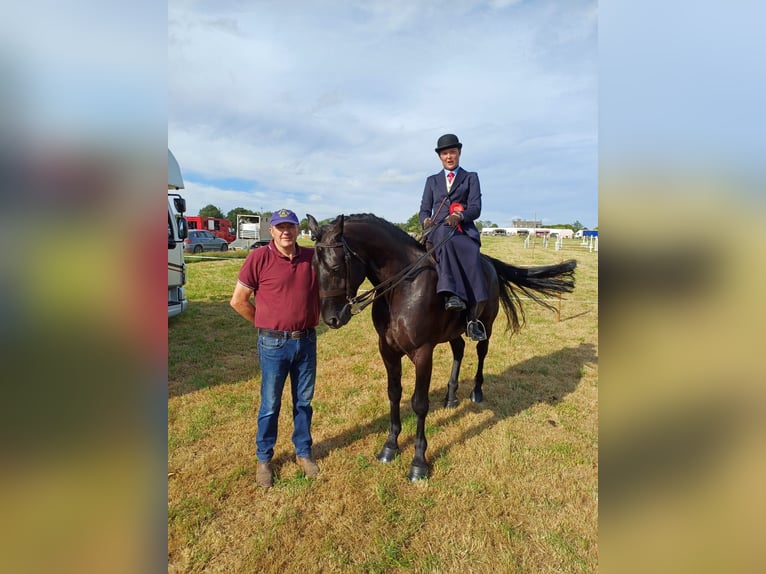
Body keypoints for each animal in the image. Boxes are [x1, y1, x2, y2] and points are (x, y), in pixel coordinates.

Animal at [307, 213, 576, 481]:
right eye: (313, 267)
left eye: (335, 267)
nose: (331, 319)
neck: (403, 287)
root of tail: (487, 262)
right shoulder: (388, 350)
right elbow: (394, 394)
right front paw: (390, 446)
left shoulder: (423, 353)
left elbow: (419, 403)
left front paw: (418, 462)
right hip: (452, 332)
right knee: (459, 350)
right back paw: (451, 396)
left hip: (486, 326)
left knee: (481, 353)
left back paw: (476, 391)